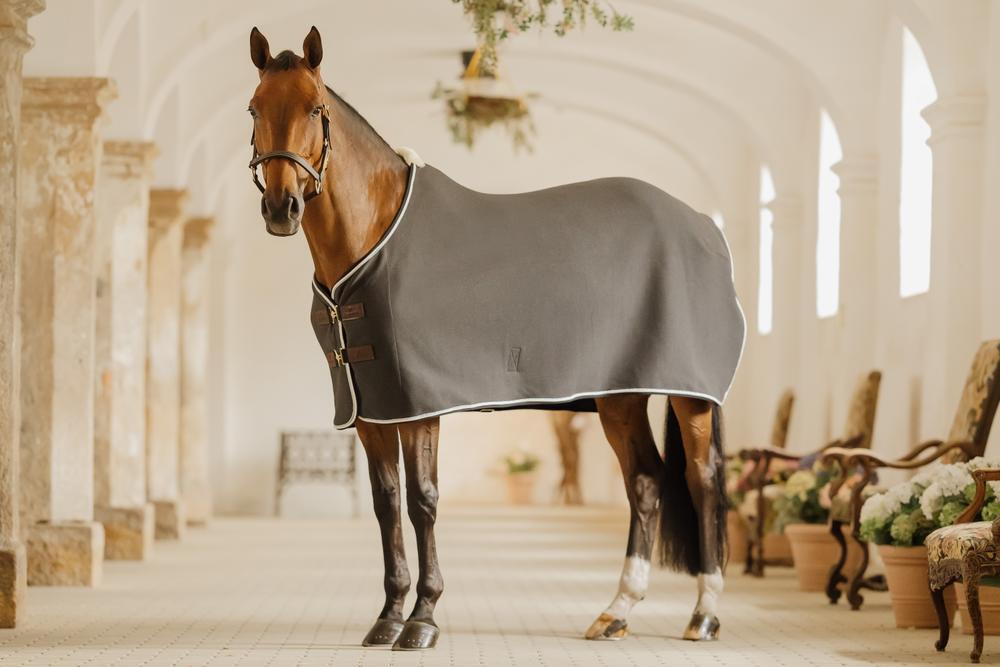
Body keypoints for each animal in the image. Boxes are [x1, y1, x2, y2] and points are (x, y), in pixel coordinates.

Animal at [246, 26, 739, 651]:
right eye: (254, 108)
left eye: (315, 108)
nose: (280, 207)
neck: (374, 235)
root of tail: (703, 224)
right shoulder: (371, 409)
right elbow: (386, 504)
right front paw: (387, 616)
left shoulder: (418, 404)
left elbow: (423, 501)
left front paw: (423, 619)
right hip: (621, 397)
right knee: (646, 483)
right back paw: (616, 611)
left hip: (688, 396)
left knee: (703, 482)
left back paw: (704, 614)